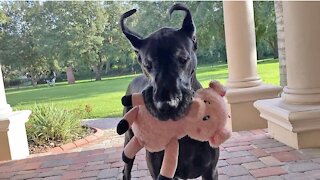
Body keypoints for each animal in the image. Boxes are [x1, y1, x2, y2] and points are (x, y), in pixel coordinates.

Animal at [120, 3, 220, 180]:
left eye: (183, 59)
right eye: (147, 65)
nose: (167, 105)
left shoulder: (210, 170)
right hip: (129, 138)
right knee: (126, 169)